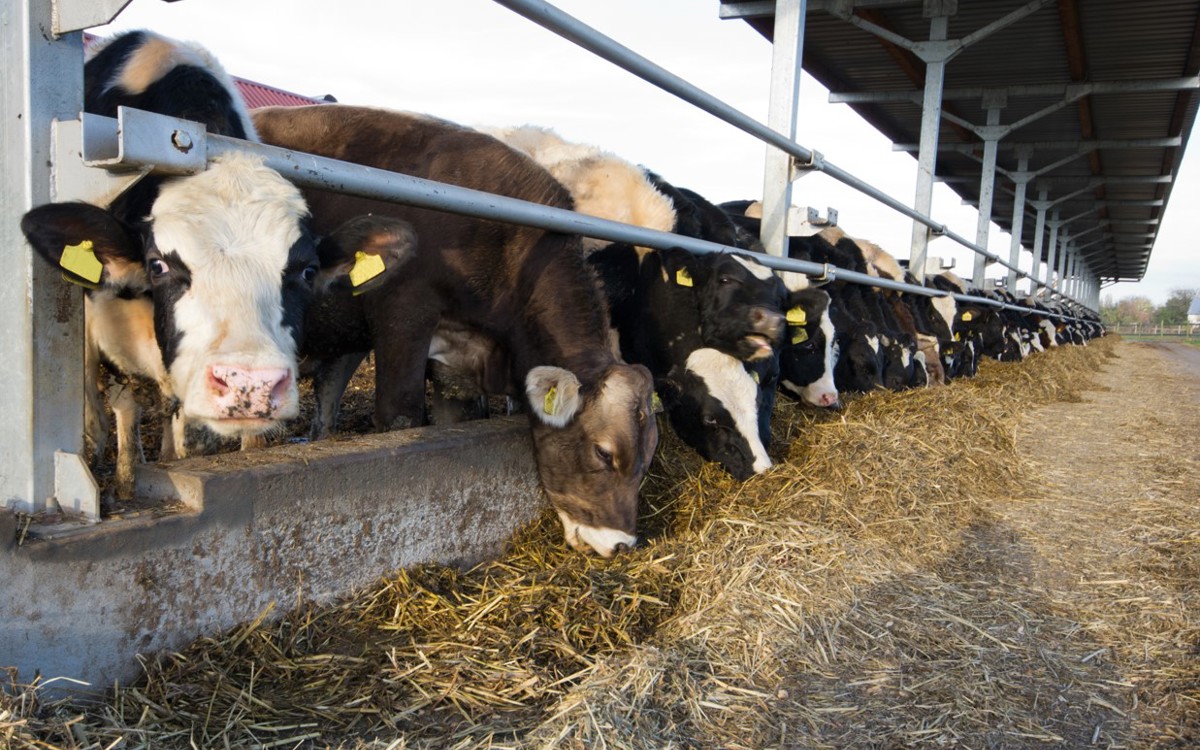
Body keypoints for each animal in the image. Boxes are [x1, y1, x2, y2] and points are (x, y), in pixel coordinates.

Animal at [253, 103, 662, 556]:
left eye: (646, 461)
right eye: (604, 453)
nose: (622, 544)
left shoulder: (458, 366)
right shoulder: (403, 315)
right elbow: (400, 416)